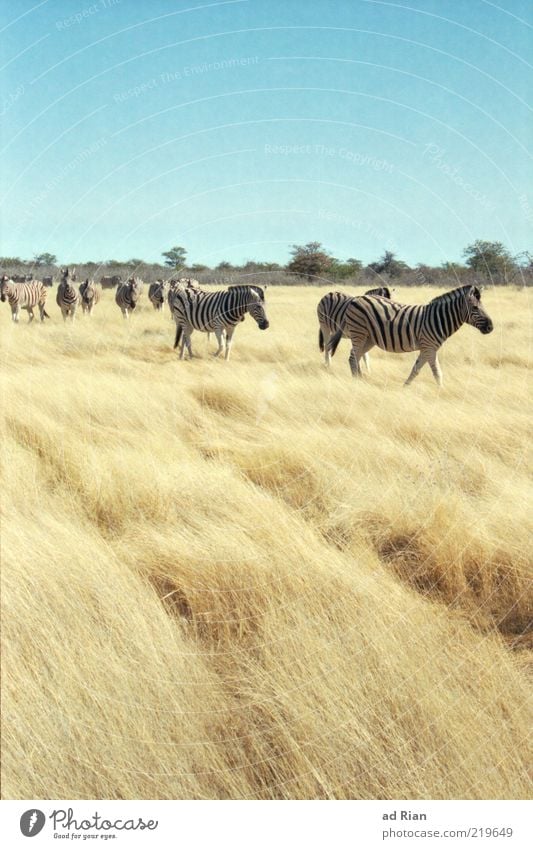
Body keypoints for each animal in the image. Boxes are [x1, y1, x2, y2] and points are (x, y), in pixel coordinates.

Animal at [326, 284, 492, 386]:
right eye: (475, 307)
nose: (491, 327)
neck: (438, 318)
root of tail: (356, 298)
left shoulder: (426, 348)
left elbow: (416, 370)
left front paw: (405, 387)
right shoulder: (430, 347)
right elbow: (437, 372)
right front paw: (441, 391)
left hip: (369, 338)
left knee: (356, 357)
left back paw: (361, 380)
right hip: (359, 333)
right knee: (353, 357)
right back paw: (356, 382)